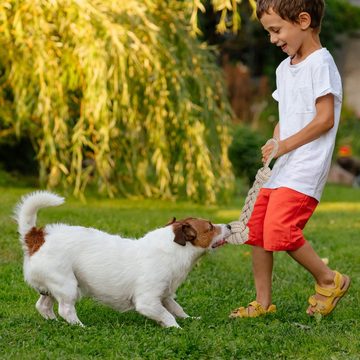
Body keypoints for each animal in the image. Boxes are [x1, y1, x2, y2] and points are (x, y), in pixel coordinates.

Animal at [14, 193, 231, 328]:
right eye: (210, 227)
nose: (229, 225)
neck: (172, 249)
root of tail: (36, 237)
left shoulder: (165, 296)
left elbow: (177, 309)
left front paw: (190, 319)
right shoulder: (147, 301)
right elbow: (167, 314)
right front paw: (176, 328)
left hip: (52, 287)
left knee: (43, 305)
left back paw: (55, 323)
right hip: (67, 285)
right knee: (66, 309)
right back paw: (81, 327)